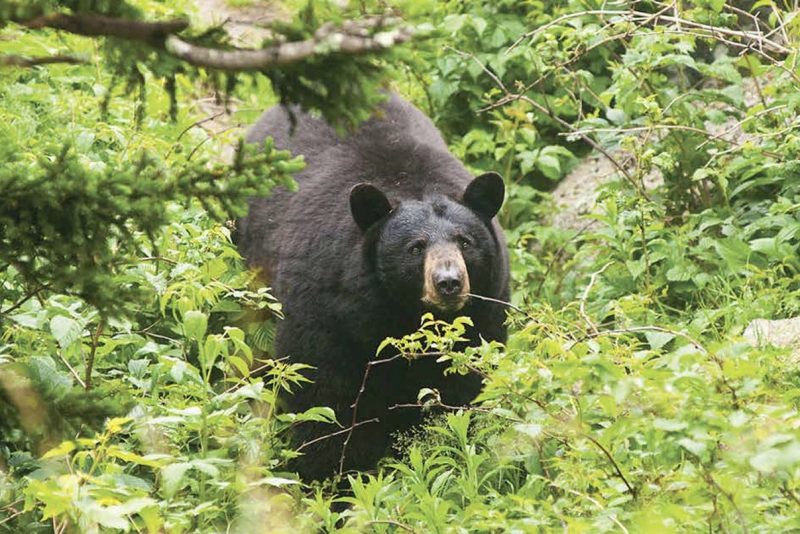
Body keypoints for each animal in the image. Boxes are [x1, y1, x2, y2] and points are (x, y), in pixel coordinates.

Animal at [241, 94, 510, 484]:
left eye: (465, 241)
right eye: (415, 247)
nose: (448, 283)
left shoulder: (484, 311)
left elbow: (463, 386)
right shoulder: (327, 304)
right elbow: (323, 394)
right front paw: (333, 477)